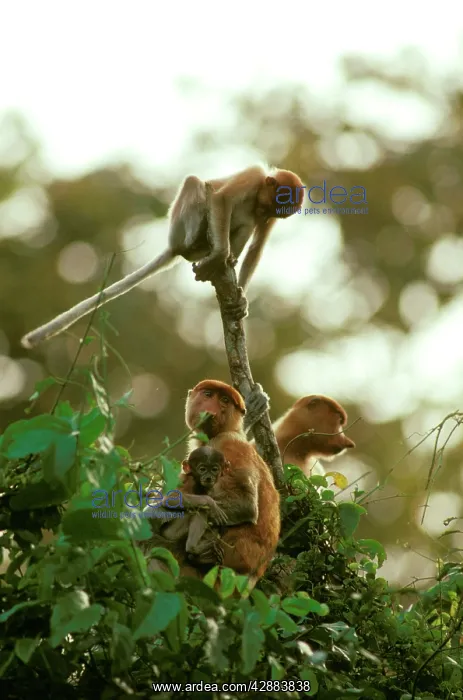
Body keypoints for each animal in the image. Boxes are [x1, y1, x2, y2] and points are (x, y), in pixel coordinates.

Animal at [21, 165, 304, 348]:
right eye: (269, 205)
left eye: (274, 213)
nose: (263, 213)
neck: (259, 189)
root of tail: (174, 246)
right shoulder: (252, 176)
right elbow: (221, 197)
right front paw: (220, 255)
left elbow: (257, 246)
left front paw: (241, 300)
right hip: (179, 223)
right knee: (195, 183)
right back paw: (199, 244)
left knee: (246, 223)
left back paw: (226, 261)